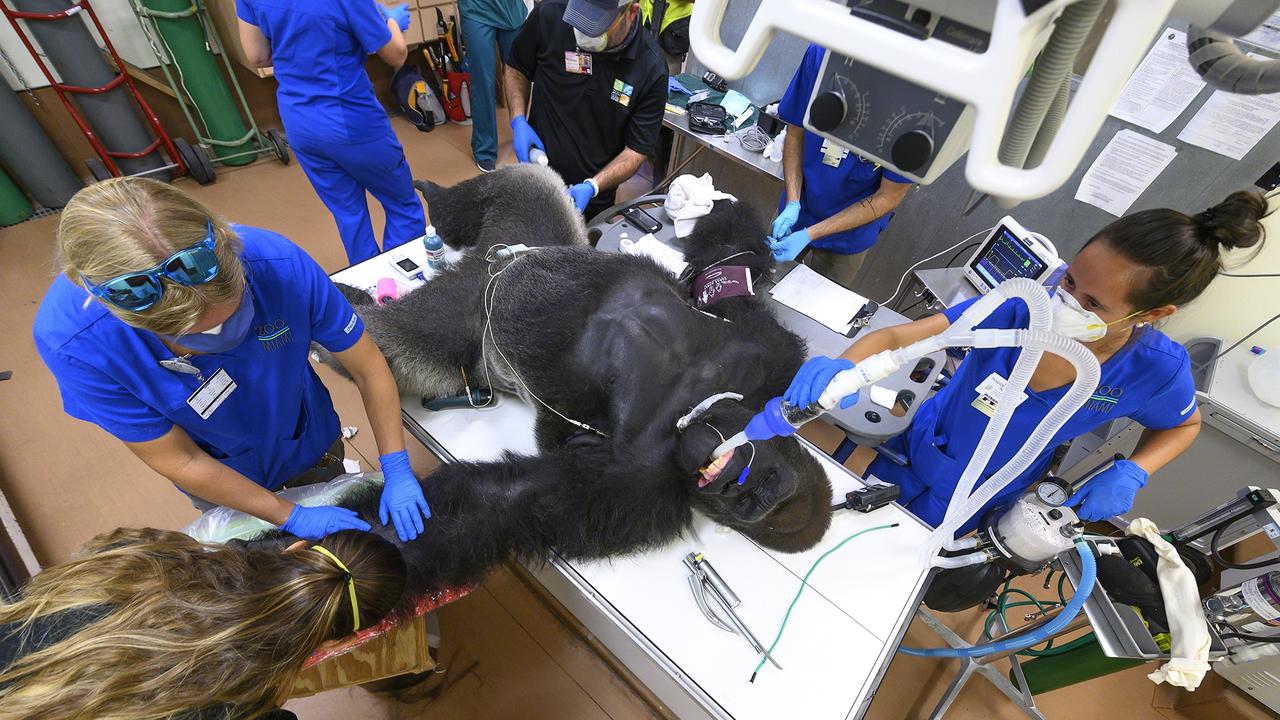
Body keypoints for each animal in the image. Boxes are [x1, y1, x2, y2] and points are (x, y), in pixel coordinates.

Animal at [311, 165, 829, 597]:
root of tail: (489, 260)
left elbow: (500, 503)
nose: (730, 481)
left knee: (394, 345)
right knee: (527, 179)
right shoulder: (764, 356)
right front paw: (713, 201)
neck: (698, 404)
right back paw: (430, 201)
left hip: (467, 323)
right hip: (539, 237)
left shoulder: (637, 490)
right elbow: (729, 264)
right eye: (763, 483)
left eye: (744, 502)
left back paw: (345, 311)